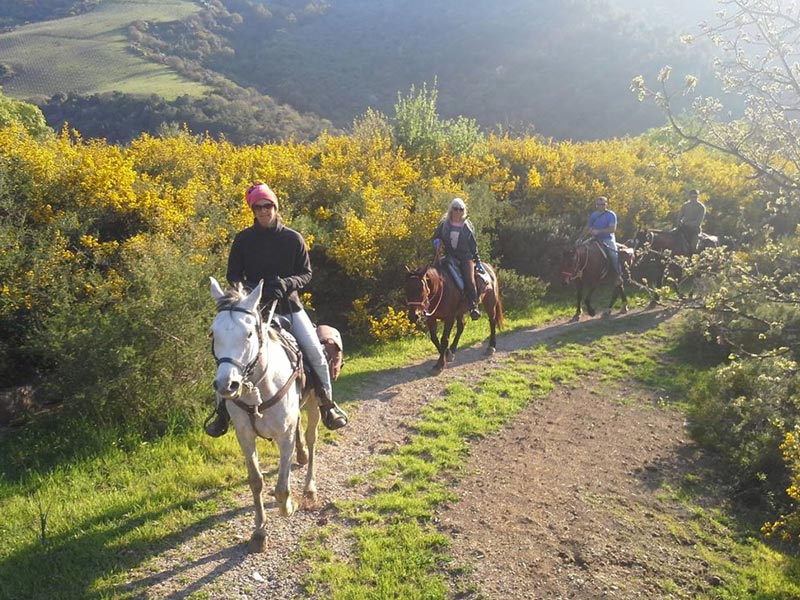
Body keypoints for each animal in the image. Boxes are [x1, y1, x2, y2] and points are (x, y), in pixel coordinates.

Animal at [209, 276, 322, 552]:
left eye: (249, 333)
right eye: (213, 333)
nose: (226, 385)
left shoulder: (284, 435)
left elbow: (281, 487)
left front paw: (288, 506)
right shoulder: (245, 436)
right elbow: (256, 481)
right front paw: (259, 532)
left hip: (315, 405)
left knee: (312, 439)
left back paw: (309, 488)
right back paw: (301, 456)